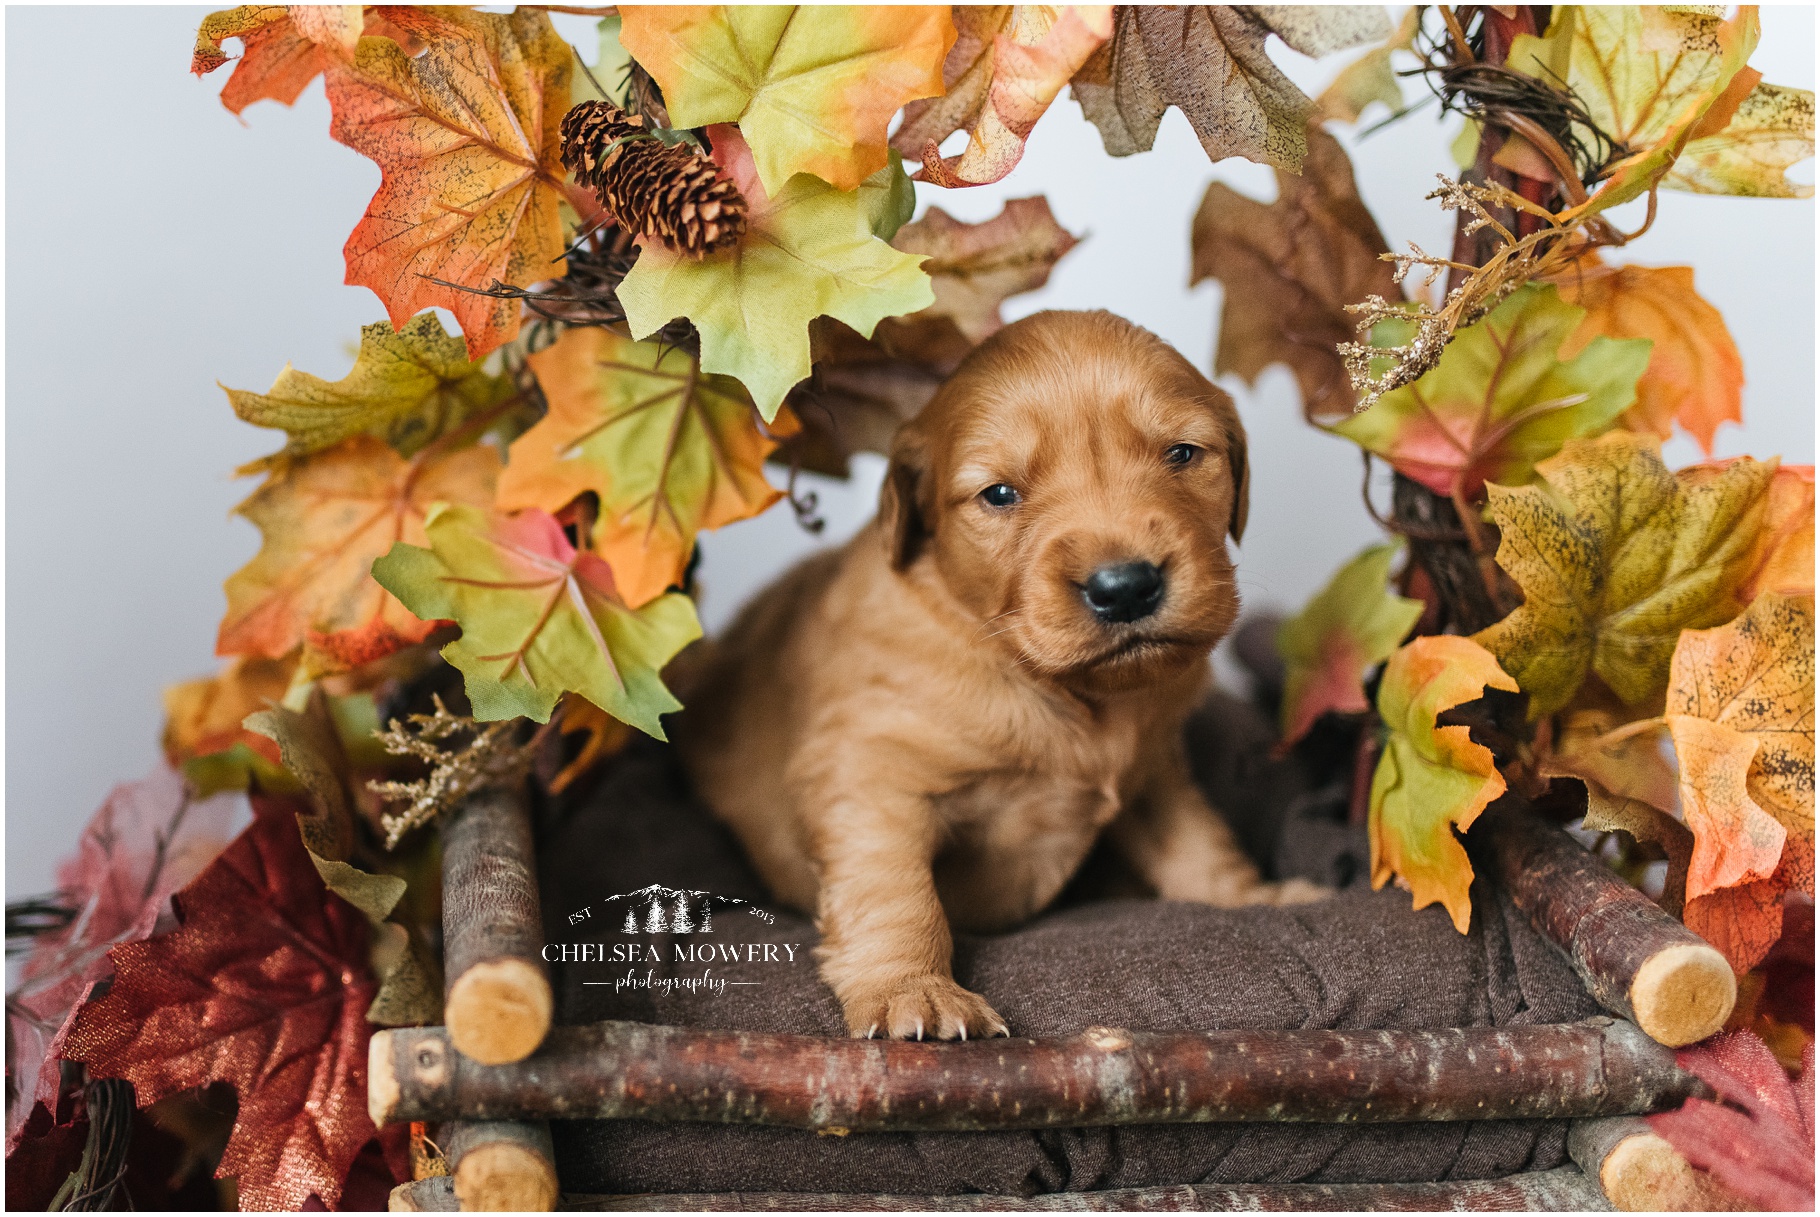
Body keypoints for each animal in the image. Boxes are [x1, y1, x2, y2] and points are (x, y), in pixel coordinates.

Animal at [677, 309, 1332, 1040]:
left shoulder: (1154, 767)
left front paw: (1250, 896)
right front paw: (913, 987)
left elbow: (1197, 837)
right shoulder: (867, 772)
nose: (1125, 587)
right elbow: (894, 888)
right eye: (999, 494)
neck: (1062, 688)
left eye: (1183, 454)